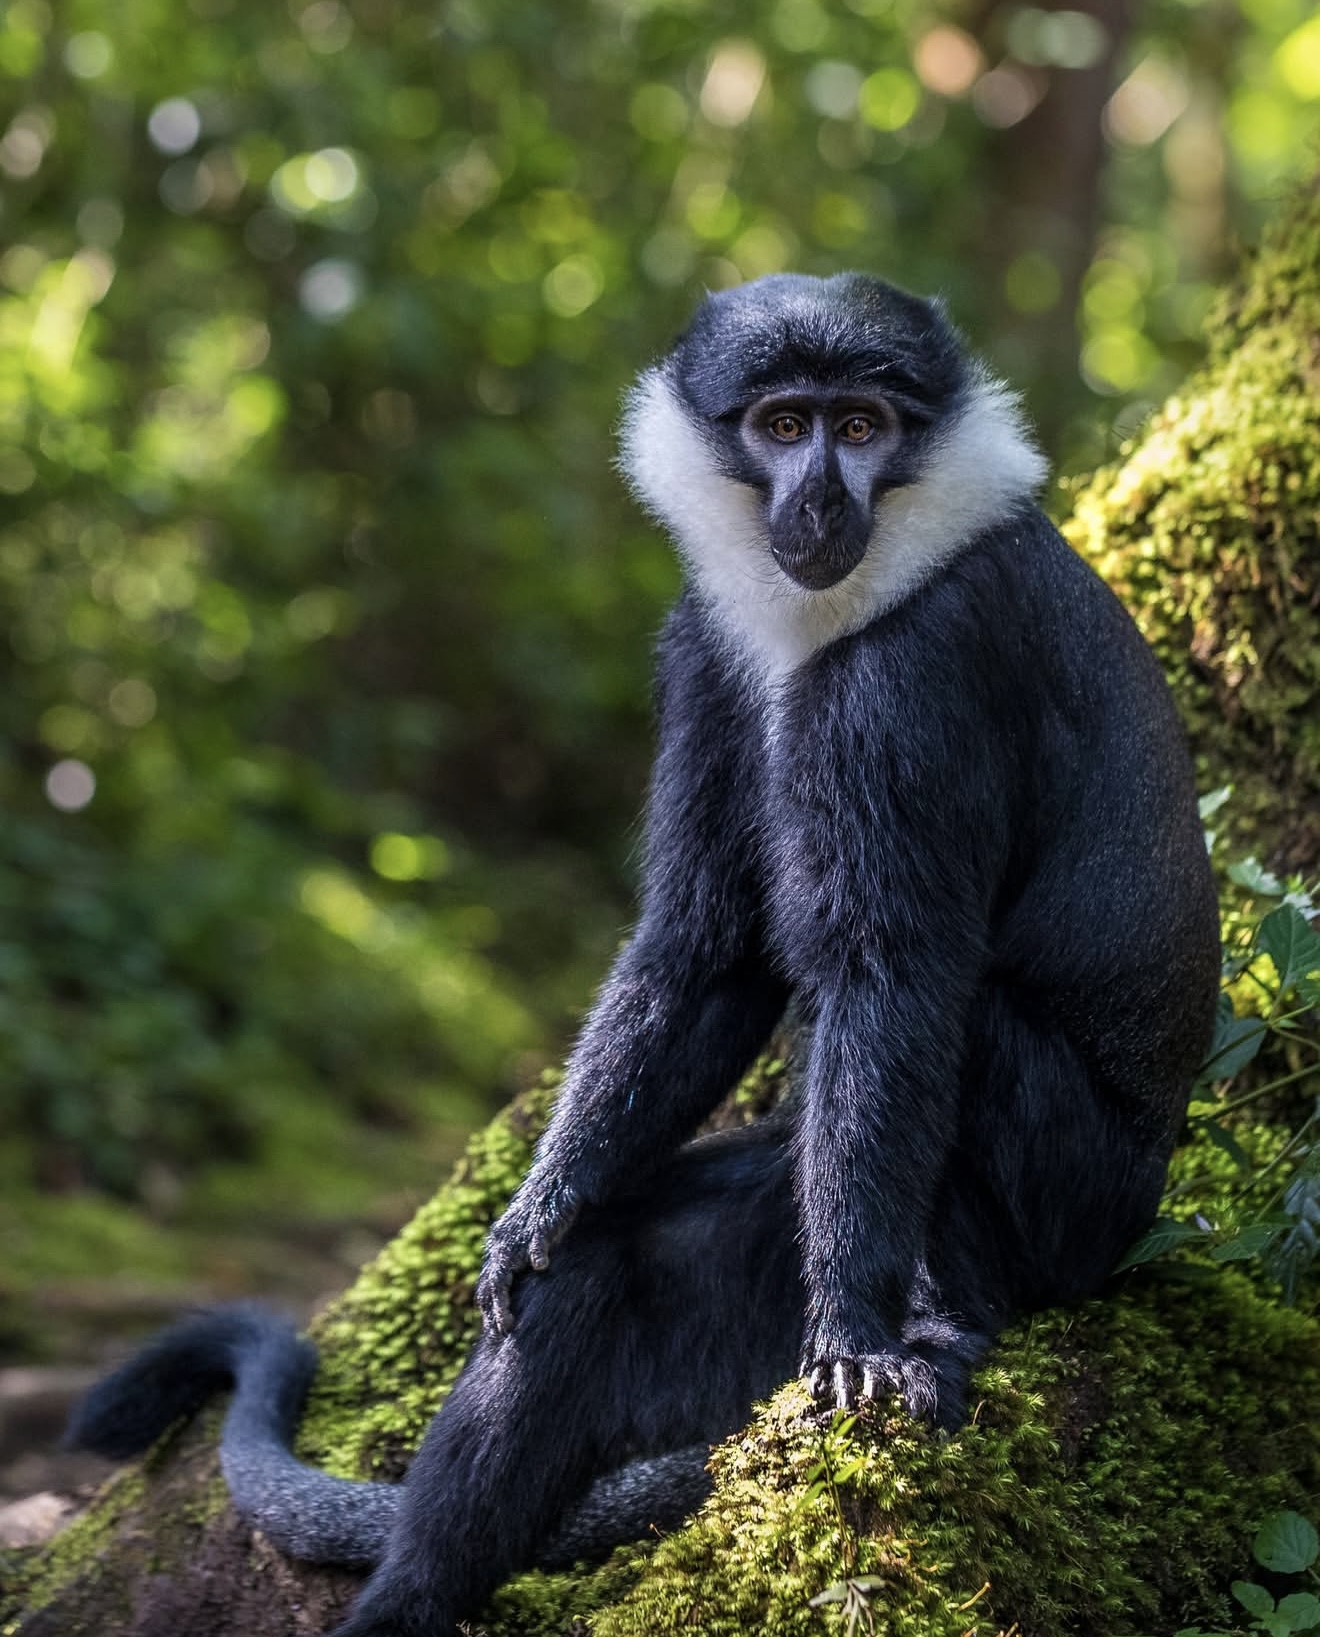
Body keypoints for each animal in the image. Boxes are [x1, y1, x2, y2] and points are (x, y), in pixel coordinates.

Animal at [67, 272, 1221, 1637]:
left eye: (864, 425)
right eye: (783, 425)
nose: (820, 500)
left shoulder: (919, 671)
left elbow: (887, 976)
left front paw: (863, 1335)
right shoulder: (702, 647)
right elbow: (704, 952)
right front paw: (537, 1208)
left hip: (1078, 1199)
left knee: (963, 1021)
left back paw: (935, 1325)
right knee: (591, 1278)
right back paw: (412, 1584)